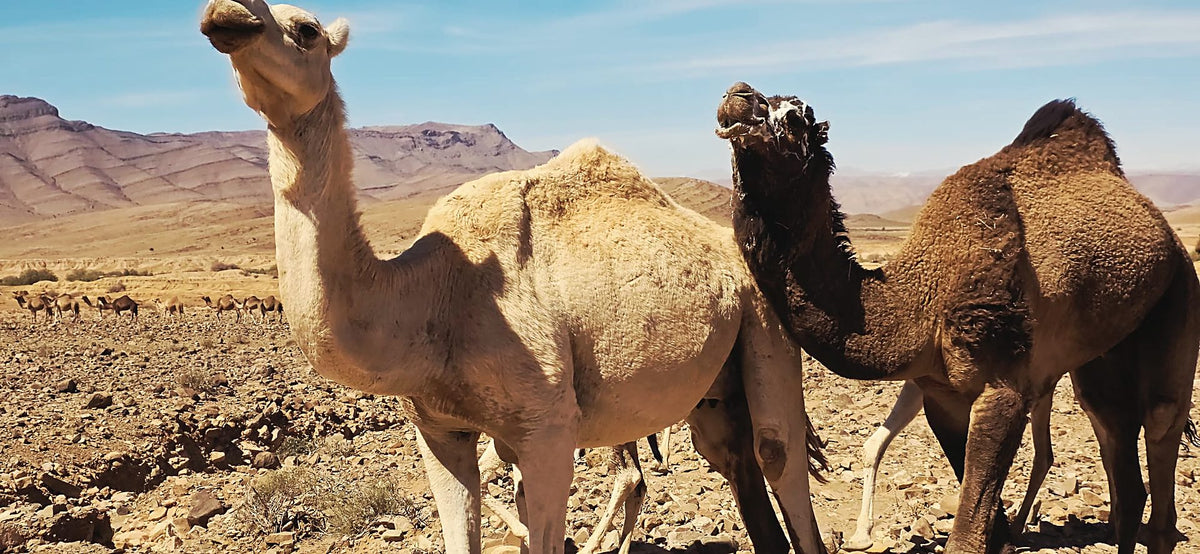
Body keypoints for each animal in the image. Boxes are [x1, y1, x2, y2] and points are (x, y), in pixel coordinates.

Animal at [201, 4, 826, 553]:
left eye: (306, 30)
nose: (225, 16)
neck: (430, 299)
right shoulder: (438, 429)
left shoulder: (548, 429)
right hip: (714, 387)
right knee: (733, 459)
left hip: (765, 316)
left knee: (778, 455)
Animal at [716, 82, 1200, 553]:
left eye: (797, 115)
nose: (737, 95)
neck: (920, 303)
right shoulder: (941, 396)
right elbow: (990, 527)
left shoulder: (1004, 386)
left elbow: (968, 536)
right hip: (1100, 359)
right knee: (1121, 462)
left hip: (1177, 300)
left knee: (1161, 431)